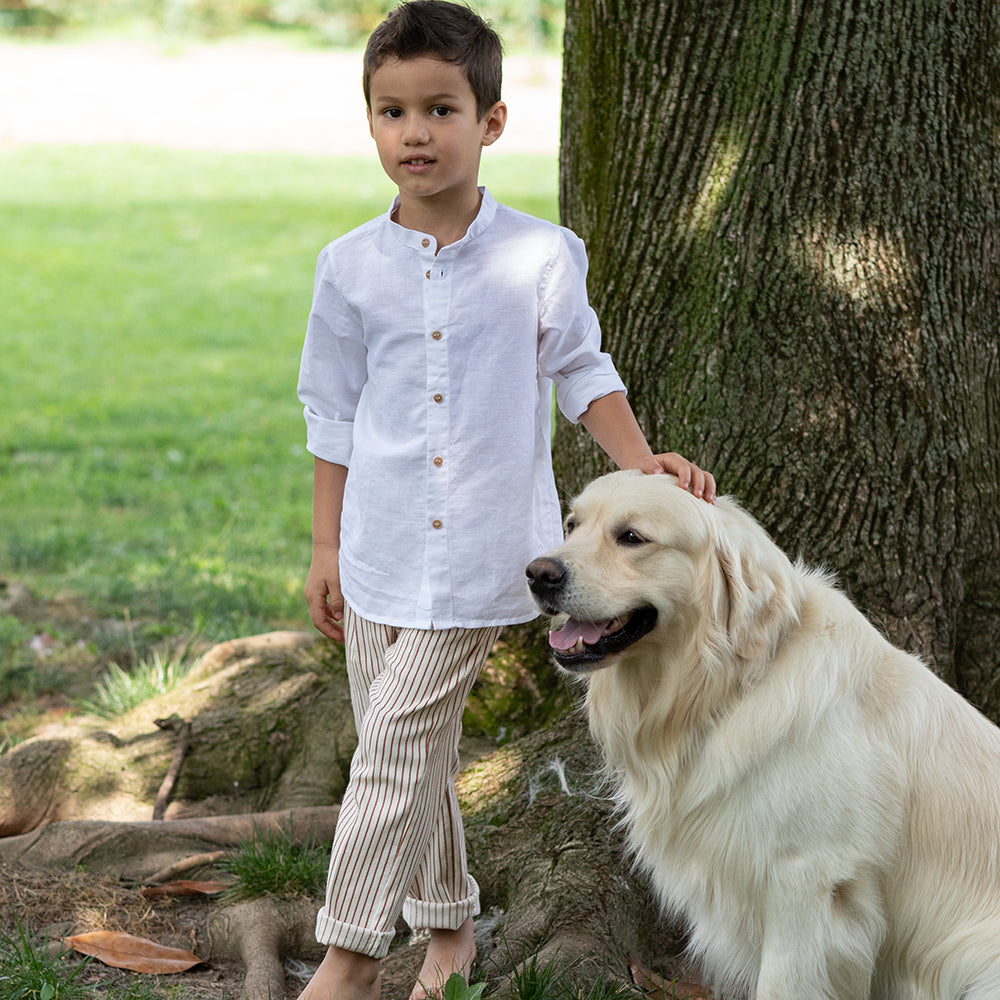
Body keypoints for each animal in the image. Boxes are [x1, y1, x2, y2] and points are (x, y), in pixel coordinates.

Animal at [528, 470, 1000, 1000]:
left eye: (631, 536)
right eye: (572, 524)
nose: (538, 573)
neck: (730, 687)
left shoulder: (808, 880)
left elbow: (783, 982)